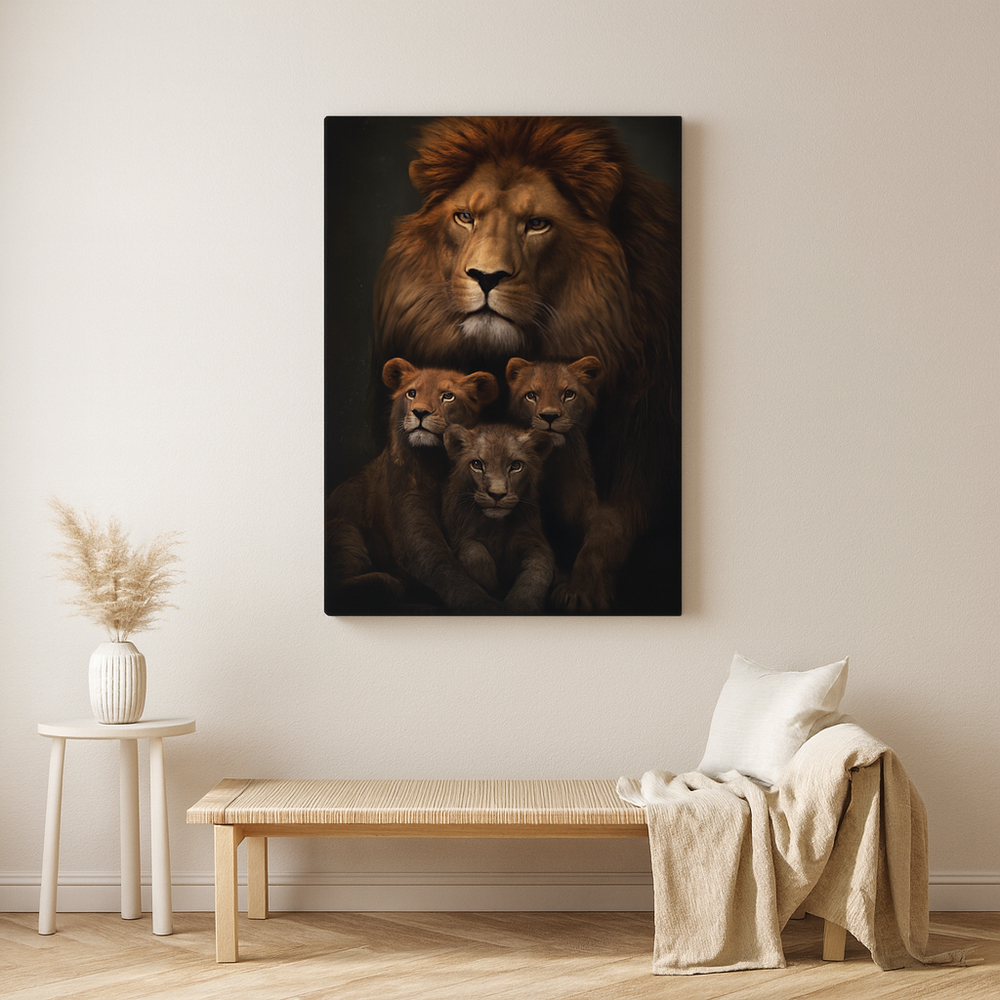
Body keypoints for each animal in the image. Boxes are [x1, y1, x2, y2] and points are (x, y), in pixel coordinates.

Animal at [325, 357, 503, 614]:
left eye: (447, 396)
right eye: (412, 393)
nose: (420, 412)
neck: (436, 463)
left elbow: (473, 549)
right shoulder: (411, 522)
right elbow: (443, 567)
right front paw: (484, 604)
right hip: (344, 529)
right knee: (339, 584)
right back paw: (392, 585)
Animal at [443, 423, 555, 614]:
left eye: (516, 465)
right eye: (477, 464)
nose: (497, 494)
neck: (496, 526)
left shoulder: (535, 541)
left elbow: (537, 572)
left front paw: (520, 605)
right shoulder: (459, 535)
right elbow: (474, 553)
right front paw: (491, 586)